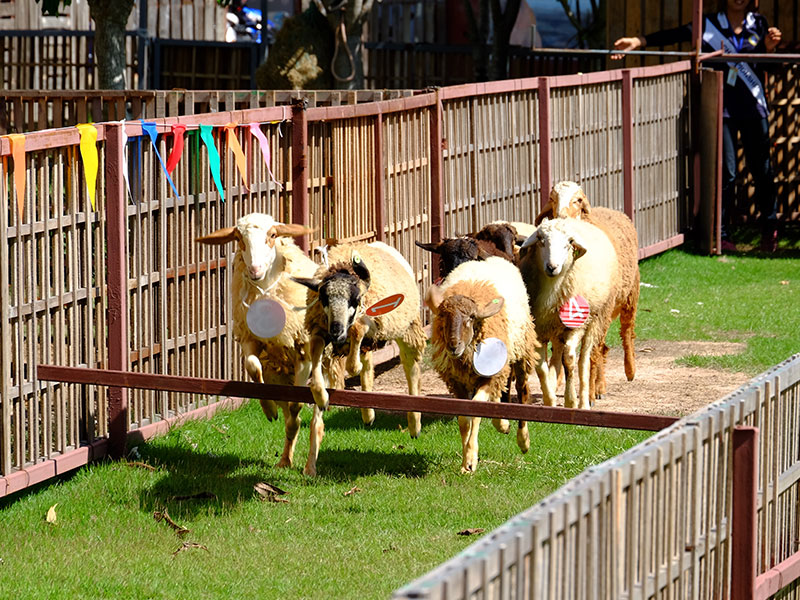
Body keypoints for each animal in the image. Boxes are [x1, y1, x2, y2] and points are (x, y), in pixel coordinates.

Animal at [196, 212, 337, 472]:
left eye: (272, 235)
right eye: (238, 238)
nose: (255, 269)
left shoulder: (301, 351)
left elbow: (298, 405)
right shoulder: (250, 340)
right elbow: (253, 368)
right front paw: (269, 408)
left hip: (323, 361)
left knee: (316, 418)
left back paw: (310, 465)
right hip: (281, 372)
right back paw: (284, 459)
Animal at [292, 241, 426, 476]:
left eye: (354, 299)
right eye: (324, 299)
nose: (336, 332)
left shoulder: (369, 319)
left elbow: (356, 333)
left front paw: (351, 365)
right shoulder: (320, 330)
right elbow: (317, 356)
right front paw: (322, 397)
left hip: (405, 326)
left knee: (411, 369)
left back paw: (414, 424)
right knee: (368, 367)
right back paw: (367, 416)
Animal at [424, 256, 539, 473]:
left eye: (471, 318)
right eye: (443, 316)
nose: (453, 346)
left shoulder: (490, 377)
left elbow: (477, 411)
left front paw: (470, 460)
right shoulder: (457, 381)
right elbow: (464, 419)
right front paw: (466, 461)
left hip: (522, 352)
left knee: (522, 392)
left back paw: (524, 440)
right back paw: (503, 425)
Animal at [518, 217, 620, 410]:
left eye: (569, 243)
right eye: (541, 240)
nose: (552, 267)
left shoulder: (576, 327)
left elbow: (570, 360)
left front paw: (570, 401)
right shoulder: (538, 329)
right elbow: (541, 367)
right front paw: (549, 399)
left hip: (594, 321)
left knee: (583, 361)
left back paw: (584, 402)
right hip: (557, 329)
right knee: (557, 355)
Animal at [534, 180, 639, 398]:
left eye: (579, 200)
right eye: (552, 199)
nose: (562, 216)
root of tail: (611, 210)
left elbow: (590, 353)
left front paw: (589, 393)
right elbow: (561, 350)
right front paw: (558, 381)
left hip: (629, 296)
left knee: (626, 333)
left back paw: (628, 371)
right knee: (603, 347)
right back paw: (599, 384)